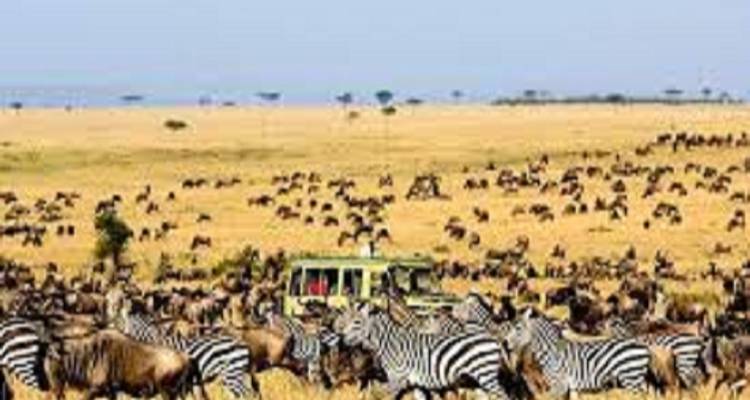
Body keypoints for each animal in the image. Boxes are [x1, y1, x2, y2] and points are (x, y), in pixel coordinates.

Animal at [334, 302, 512, 400]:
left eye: (357, 322)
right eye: (345, 320)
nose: (341, 339)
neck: (389, 343)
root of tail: (493, 339)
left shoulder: (397, 379)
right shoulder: (417, 382)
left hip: (485, 375)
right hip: (478, 380)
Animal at [504, 309, 652, 399]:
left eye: (518, 328)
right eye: (509, 328)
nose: (504, 343)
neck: (552, 352)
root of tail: (643, 346)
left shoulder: (559, 385)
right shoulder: (571, 387)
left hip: (631, 378)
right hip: (636, 378)